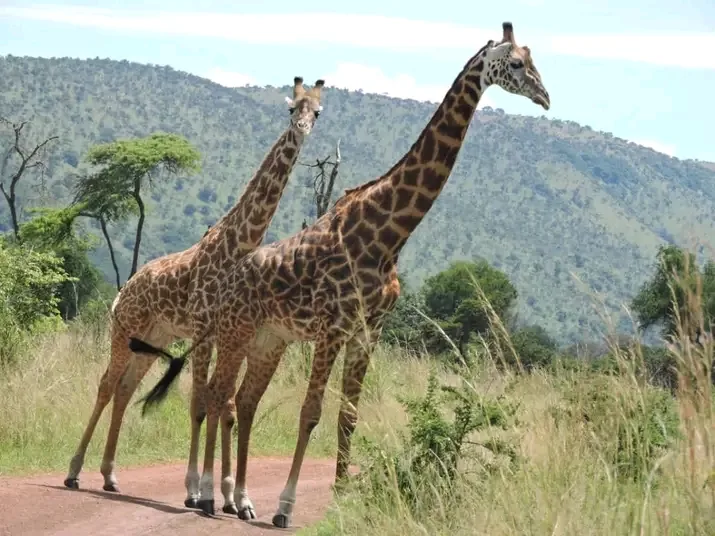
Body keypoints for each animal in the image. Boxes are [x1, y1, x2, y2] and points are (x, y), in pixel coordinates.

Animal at [63, 76, 327, 515]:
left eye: (318, 112)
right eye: (293, 108)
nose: (303, 129)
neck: (237, 244)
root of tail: (124, 290)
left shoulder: (228, 334)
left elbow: (226, 405)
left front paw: (230, 496)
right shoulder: (207, 329)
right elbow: (201, 403)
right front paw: (198, 491)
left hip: (152, 339)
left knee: (125, 389)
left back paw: (110, 476)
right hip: (124, 332)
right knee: (106, 384)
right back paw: (74, 471)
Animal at [138, 21, 550, 528]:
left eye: (534, 61)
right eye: (516, 63)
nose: (545, 97)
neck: (388, 235)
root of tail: (228, 277)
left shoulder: (367, 331)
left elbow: (347, 415)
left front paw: (341, 498)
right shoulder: (333, 328)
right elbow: (310, 412)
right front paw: (286, 507)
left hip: (268, 341)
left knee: (242, 402)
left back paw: (238, 499)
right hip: (234, 334)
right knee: (216, 397)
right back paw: (211, 496)